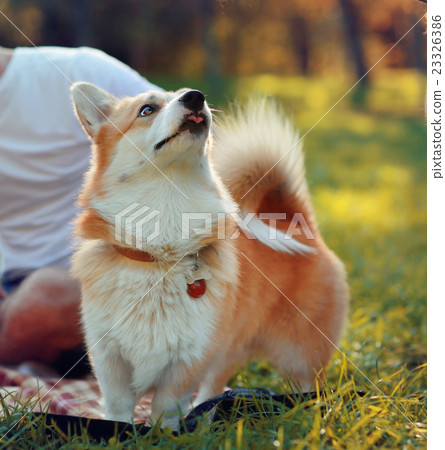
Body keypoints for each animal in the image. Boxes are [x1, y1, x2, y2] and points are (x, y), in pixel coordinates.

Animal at [70, 83, 346, 426]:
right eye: (147, 110)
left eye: (185, 94)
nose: (194, 96)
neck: (160, 257)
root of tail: (295, 221)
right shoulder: (109, 356)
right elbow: (118, 407)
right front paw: (119, 429)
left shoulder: (190, 358)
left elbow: (166, 407)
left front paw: (165, 431)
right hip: (230, 349)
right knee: (216, 385)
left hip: (300, 356)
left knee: (308, 387)